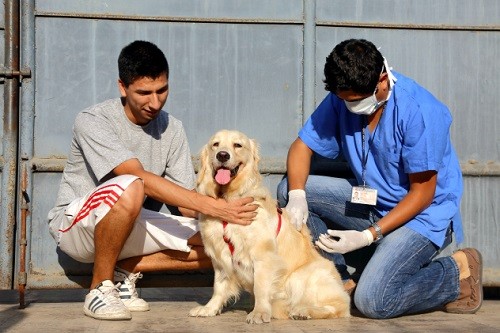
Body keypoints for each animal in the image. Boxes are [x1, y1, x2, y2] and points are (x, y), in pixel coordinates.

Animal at [189, 129, 350, 322]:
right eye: (216, 144)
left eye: (237, 145)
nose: (222, 155)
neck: (229, 198)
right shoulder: (220, 256)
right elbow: (219, 287)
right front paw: (209, 308)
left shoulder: (263, 255)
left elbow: (260, 287)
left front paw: (259, 312)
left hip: (303, 276)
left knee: (339, 306)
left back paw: (303, 311)